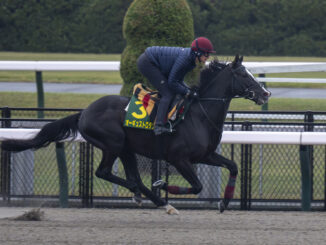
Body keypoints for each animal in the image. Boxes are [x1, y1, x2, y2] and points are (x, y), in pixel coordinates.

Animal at [1, 54, 270, 213]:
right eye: (243, 74)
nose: (265, 93)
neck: (198, 114)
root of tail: (84, 112)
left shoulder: (205, 155)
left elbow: (233, 166)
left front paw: (224, 202)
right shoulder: (179, 159)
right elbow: (197, 186)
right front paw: (163, 184)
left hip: (126, 148)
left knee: (134, 178)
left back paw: (154, 200)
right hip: (114, 144)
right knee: (105, 172)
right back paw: (155, 198)